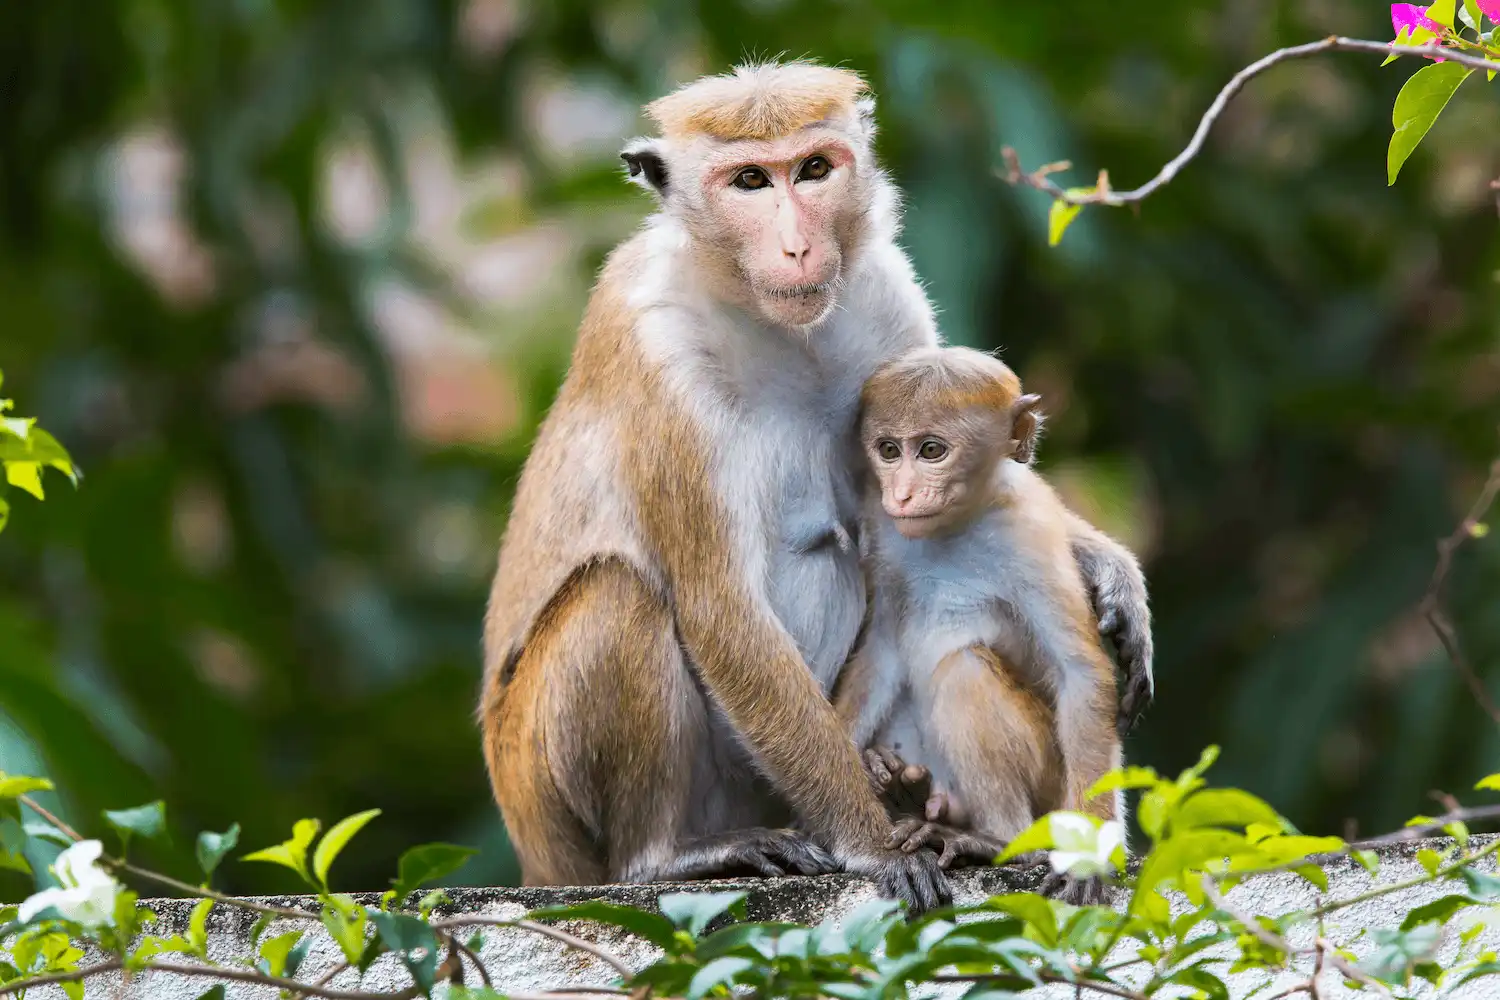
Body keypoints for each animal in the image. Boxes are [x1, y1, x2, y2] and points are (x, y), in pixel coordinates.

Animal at [833, 345, 1134, 903]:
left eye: (931, 450)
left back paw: (993, 840)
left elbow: (1081, 674)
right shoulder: (883, 533)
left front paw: (1089, 863)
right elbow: (883, 649)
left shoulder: (1030, 534)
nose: (901, 494)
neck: (958, 524)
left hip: (1052, 785)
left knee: (963, 670)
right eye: (889, 450)